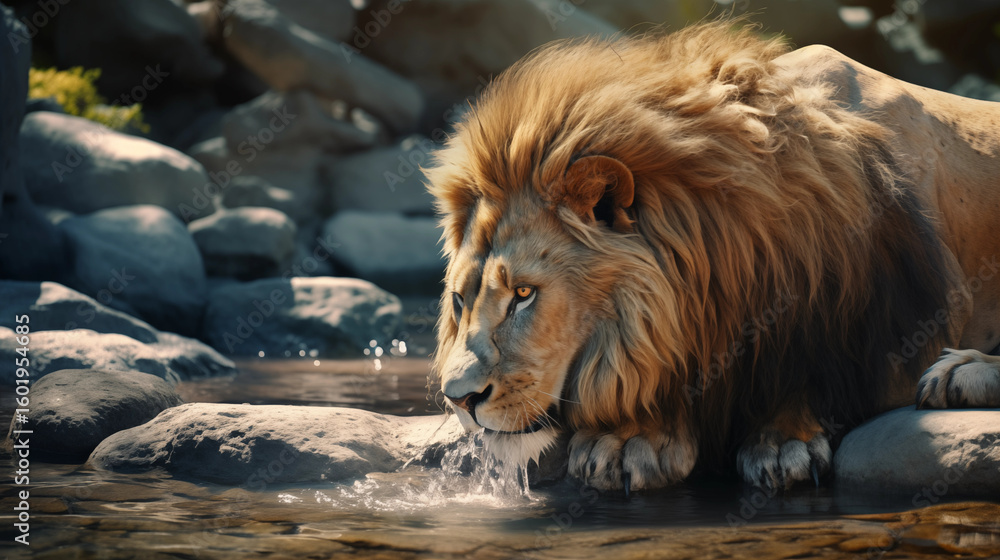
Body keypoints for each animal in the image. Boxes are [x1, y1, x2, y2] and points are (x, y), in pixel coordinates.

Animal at [425, 22, 1000, 493]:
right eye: (460, 301)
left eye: (523, 294)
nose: (459, 400)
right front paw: (631, 436)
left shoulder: (893, 327)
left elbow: (812, 375)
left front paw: (781, 441)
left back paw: (961, 373)